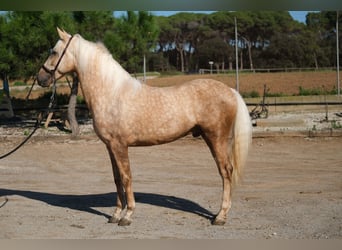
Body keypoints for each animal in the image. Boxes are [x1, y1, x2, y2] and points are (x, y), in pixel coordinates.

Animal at [38, 28, 251, 226]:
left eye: (54, 51)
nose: (40, 78)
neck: (112, 92)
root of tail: (230, 90)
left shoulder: (120, 146)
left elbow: (126, 177)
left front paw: (127, 216)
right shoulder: (110, 146)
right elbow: (116, 178)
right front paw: (115, 215)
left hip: (217, 138)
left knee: (225, 172)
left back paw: (220, 216)